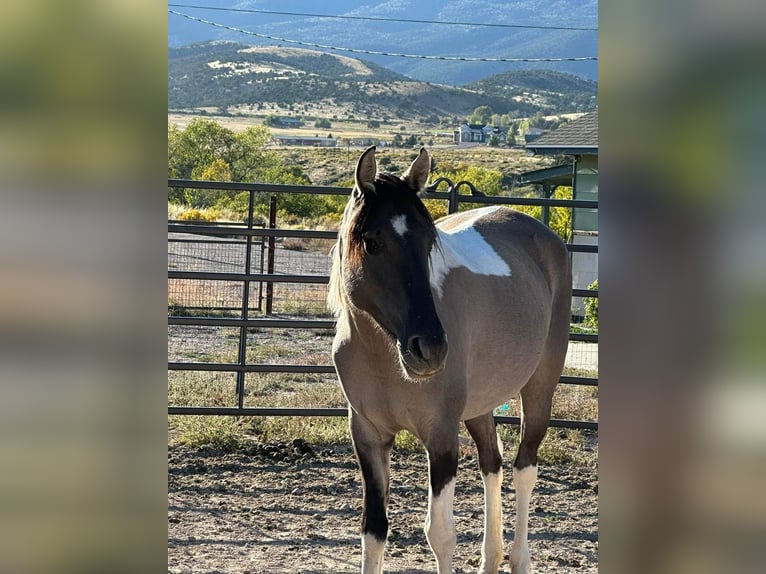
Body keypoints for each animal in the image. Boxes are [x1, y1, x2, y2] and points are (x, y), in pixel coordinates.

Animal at [328, 146, 572, 572]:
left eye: (430, 240)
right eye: (372, 241)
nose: (430, 348)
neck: (383, 355)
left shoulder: (441, 437)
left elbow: (440, 535)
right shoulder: (368, 436)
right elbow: (373, 530)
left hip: (540, 387)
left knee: (524, 469)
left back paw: (518, 559)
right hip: (479, 404)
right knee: (492, 462)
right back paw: (490, 558)